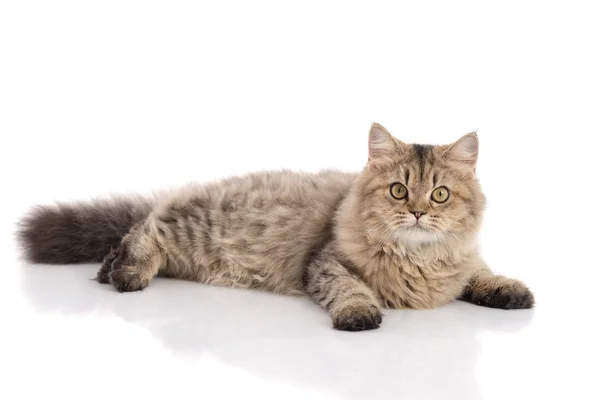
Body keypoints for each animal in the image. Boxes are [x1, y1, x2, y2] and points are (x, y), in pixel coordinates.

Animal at [17, 124, 536, 332]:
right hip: (188, 229)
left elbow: (480, 275)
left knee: (129, 234)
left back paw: (107, 269)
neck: (417, 259)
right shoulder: (325, 263)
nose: (418, 213)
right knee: (146, 230)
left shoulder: (460, 265)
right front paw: (359, 314)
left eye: (440, 194)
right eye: (397, 191)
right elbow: (351, 290)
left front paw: (510, 290)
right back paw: (126, 274)